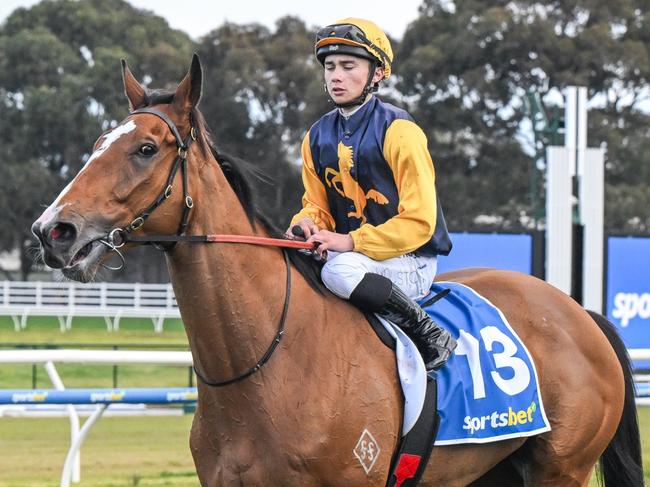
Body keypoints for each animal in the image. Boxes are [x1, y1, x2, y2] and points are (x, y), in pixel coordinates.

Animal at [30, 55, 636, 486]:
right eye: (97, 144)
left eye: (146, 149)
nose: (52, 230)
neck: (265, 364)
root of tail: (578, 312)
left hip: (560, 468)